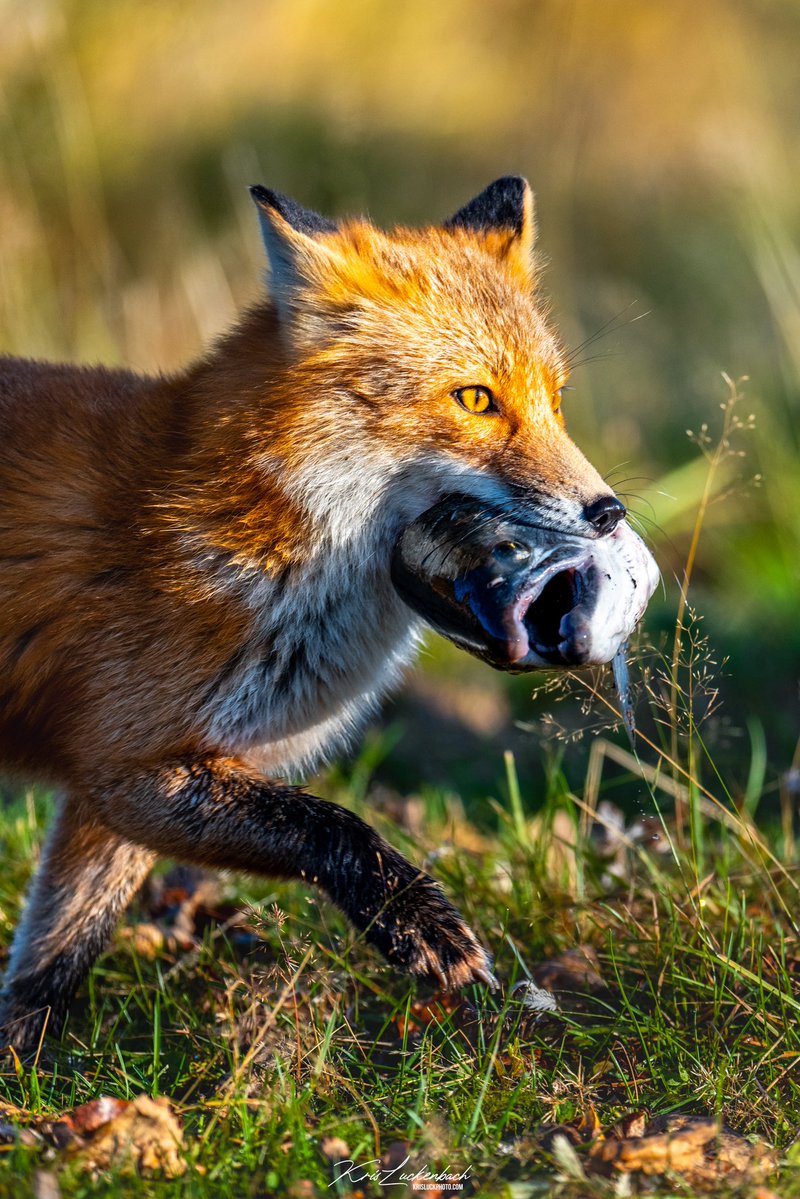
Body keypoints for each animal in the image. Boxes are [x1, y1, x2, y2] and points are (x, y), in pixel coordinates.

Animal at [0, 176, 655, 1056]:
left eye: (555, 401)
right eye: (476, 398)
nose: (608, 511)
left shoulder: (118, 793)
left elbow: (55, 955)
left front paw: (23, 1067)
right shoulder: (125, 758)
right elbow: (334, 825)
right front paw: (415, 922)